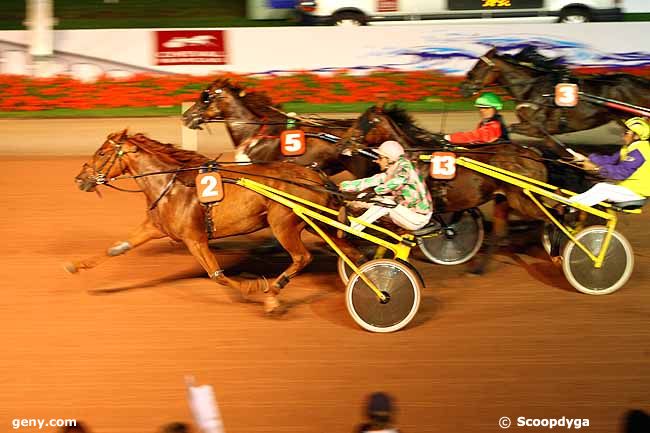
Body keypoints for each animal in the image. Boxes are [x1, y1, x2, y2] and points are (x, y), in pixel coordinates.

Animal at [67, 130, 362, 312]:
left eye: (102, 153)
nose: (80, 179)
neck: (170, 185)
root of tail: (314, 175)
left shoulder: (195, 239)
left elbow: (216, 275)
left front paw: (253, 286)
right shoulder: (153, 227)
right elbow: (116, 248)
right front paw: (76, 265)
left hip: (284, 224)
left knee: (303, 257)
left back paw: (273, 294)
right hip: (317, 222)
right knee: (349, 249)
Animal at [336, 104, 556, 272]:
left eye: (365, 122)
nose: (342, 143)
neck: (416, 156)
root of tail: (534, 155)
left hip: (523, 199)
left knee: (553, 215)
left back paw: (557, 250)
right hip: (503, 199)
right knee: (501, 233)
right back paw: (479, 268)